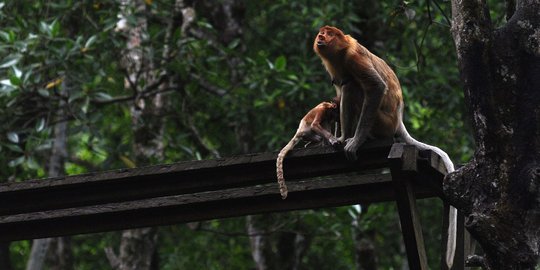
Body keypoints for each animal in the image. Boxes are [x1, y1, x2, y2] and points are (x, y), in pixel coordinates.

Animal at [314, 25, 458, 268]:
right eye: (322, 33)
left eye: (330, 33)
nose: (321, 37)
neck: (339, 53)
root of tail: (398, 120)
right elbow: (339, 92)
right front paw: (339, 138)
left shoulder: (353, 57)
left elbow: (375, 86)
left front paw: (353, 142)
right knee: (347, 86)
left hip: (382, 121)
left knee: (353, 86)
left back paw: (358, 137)